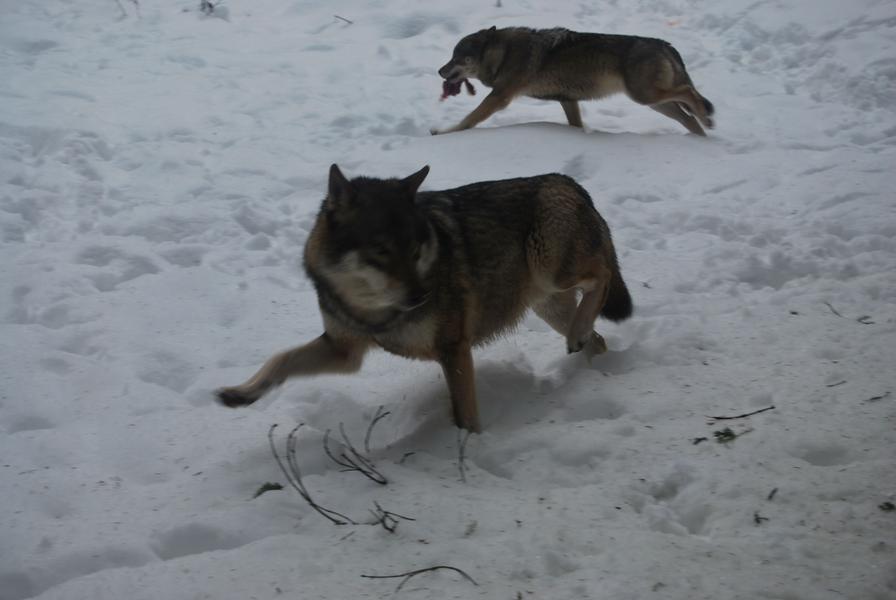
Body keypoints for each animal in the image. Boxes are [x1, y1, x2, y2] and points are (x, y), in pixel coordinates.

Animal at [216, 165, 633, 433]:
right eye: (381, 251)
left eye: (415, 248)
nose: (423, 296)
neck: (373, 311)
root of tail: (569, 181)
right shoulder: (344, 351)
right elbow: (280, 358)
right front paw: (241, 393)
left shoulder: (453, 348)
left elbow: (465, 416)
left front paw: (469, 453)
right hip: (547, 303)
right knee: (597, 335)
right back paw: (592, 369)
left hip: (551, 269)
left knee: (602, 277)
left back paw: (583, 342)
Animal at [434, 26, 714, 136]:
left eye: (456, 57)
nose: (439, 71)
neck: (504, 53)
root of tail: (665, 45)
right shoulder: (568, 101)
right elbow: (576, 125)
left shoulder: (499, 97)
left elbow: (469, 120)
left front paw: (443, 132)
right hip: (655, 103)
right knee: (688, 117)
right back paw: (702, 139)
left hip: (645, 97)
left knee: (689, 93)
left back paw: (706, 118)